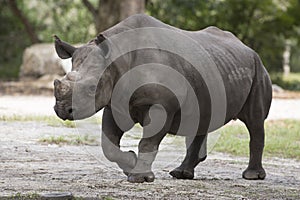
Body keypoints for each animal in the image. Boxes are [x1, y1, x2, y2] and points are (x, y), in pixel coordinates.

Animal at [53, 13, 272, 183]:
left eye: (92, 88)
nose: (62, 110)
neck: (118, 58)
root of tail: (247, 48)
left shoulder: (161, 105)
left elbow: (147, 142)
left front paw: (140, 177)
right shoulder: (115, 102)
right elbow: (108, 144)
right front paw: (131, 164)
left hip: (258, 69)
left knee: (255, 122)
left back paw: (252, 176)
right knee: (202, 119)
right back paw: (181, 174)